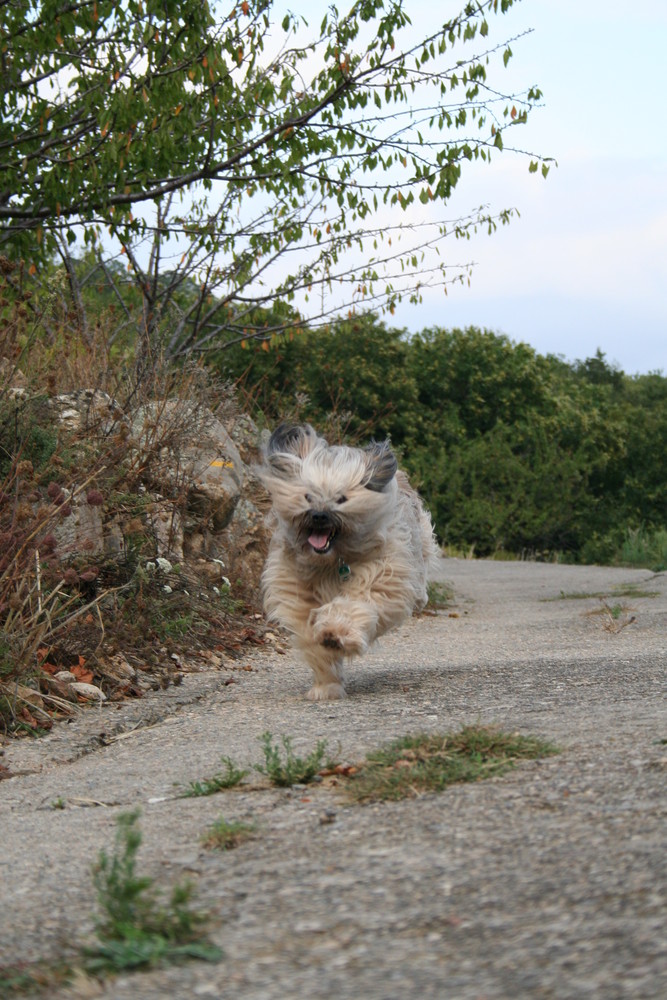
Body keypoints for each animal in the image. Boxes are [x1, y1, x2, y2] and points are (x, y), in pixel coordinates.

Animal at [258, 426, 440, 700]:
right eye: (307, 496)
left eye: (342, 498)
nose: (319, 515)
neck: (332, 561)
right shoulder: (297, 593)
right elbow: (313, 641)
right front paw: (326, 685)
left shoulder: (380, 573)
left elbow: (355, 604)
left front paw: (336, 632)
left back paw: (420, 596)